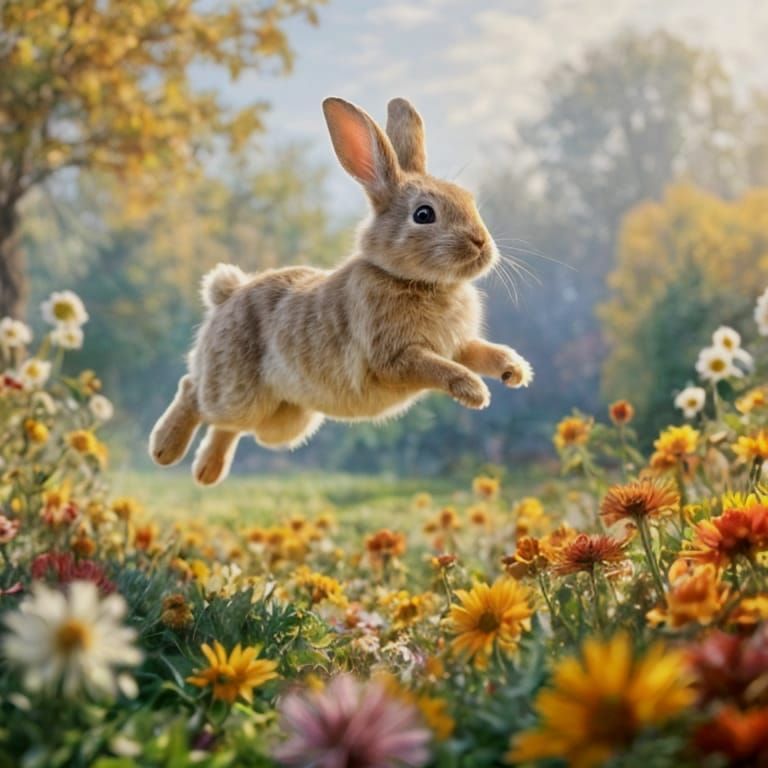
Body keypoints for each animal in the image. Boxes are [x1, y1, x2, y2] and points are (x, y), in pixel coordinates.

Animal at [149, 96, 533, 486]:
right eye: (424, 214)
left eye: (468, 199)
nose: (481, 243)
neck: (412, 280)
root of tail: (226, 295)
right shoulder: (395, 356)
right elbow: (439, 368)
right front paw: (475, 392)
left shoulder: (456, 345)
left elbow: (480, 352)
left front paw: (514, 371)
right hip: (234, 389)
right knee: (193, 391)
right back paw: (165, 450)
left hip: (284, 422)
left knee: (231, 426)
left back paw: (206, 472)